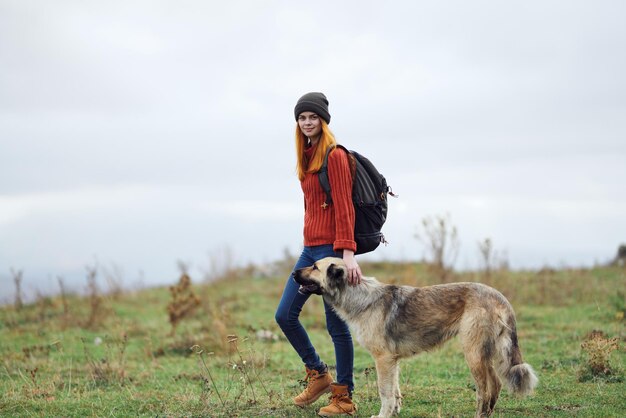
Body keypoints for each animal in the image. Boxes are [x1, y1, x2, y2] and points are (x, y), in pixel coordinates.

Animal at [294, 256, 536, 416]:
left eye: (314, 267)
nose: (294, 273)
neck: (359, 297)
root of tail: (499, 297)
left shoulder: (383, 359)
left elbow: (385, 392)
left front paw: (383, 415)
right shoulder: (393, 361)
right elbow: (395, 391)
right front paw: (394, 412)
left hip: (473, 353)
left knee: (486, 389)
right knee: (495, 384)